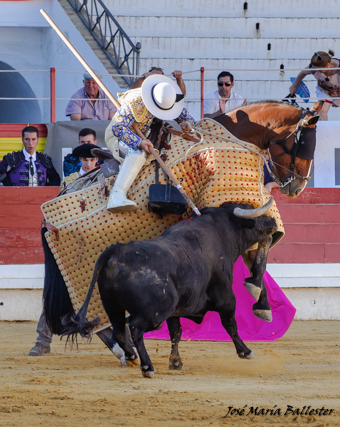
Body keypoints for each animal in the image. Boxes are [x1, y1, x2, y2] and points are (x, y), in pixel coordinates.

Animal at [61, 202, 276, 380]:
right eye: (254, 214)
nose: (272, 221)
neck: (223, 230)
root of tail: (117, 251)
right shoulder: (226, 296)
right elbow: (230, 325)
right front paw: (245, 351)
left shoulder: (176, 310)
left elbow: (176, 332)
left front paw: (175, 362)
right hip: (156, 311)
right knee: (136, 329)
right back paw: (147, 367)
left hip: (112, 306)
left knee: (120, 333)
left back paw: (131, 357)